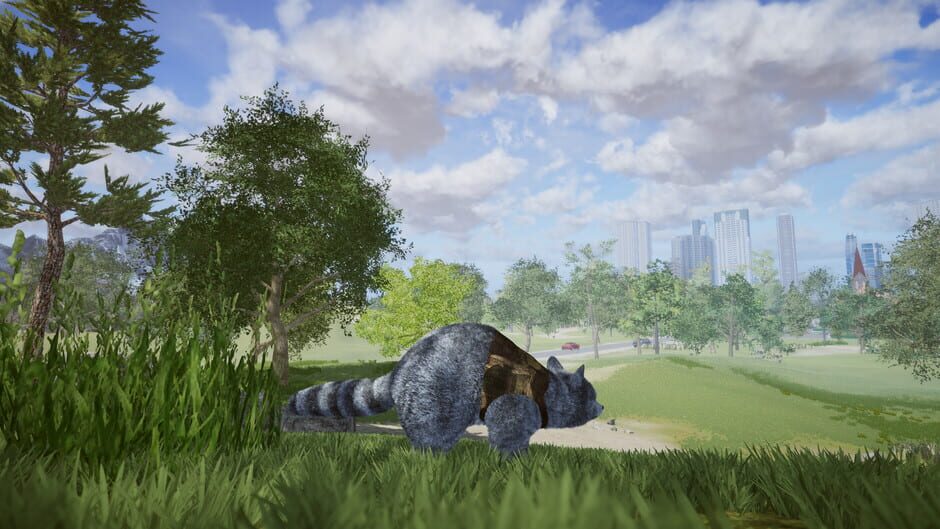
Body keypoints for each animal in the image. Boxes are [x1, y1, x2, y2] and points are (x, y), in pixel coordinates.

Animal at [286, 323, 604, 457]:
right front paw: (515, 462)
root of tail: (403, 366)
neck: (549, 388)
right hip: (431, 393)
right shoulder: (516, 403)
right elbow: (506, 431)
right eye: (592, 395)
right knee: (433, 432)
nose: (602, 407)